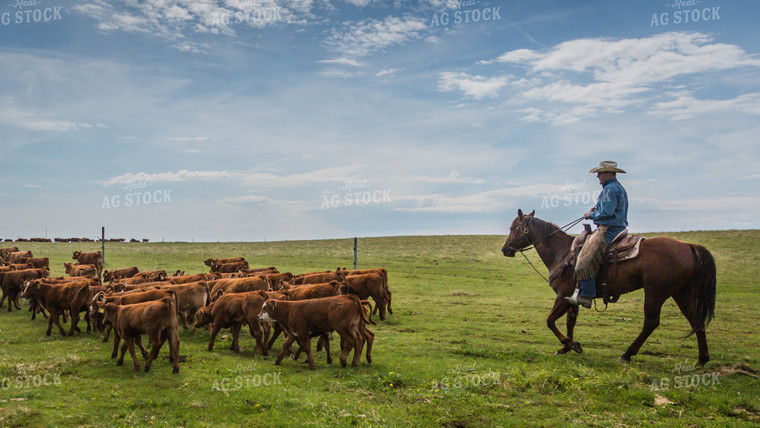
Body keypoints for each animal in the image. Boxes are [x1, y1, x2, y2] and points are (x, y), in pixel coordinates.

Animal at [502, 209, 716, 366]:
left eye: (513, 227)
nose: (505, 249)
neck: (562, 254)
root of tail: (688, 246)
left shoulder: (563, 295)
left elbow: (550, 321)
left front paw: (572, 345)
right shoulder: (572, 299)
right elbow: (570, 322)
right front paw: (566, 348)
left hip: (655, 293)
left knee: (651, 322)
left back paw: (627, 354)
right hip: (680, 293)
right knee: (695, 320)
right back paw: (702, 359)